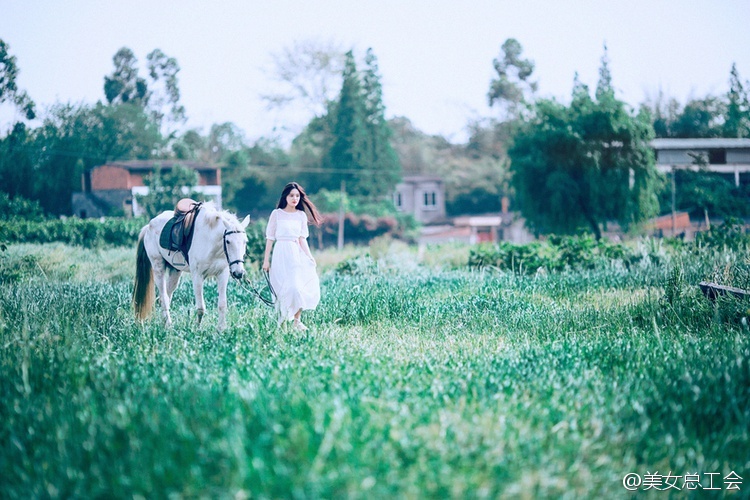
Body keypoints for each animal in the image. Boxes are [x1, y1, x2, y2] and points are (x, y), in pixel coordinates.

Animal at [134, 201, 251, 330]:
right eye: (228, 241)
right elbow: (200, 308)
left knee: (165, 297)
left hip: (175, 272)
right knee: (164, 297)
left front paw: (221, 329)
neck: (210, 241)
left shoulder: (222, 275)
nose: (238, 273)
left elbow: (222, 304)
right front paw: (197, 329)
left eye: (245, 241)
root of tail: (149, 226)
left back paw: (164, 324)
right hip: (158, 267)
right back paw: (169, 325)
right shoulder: (197, 276)